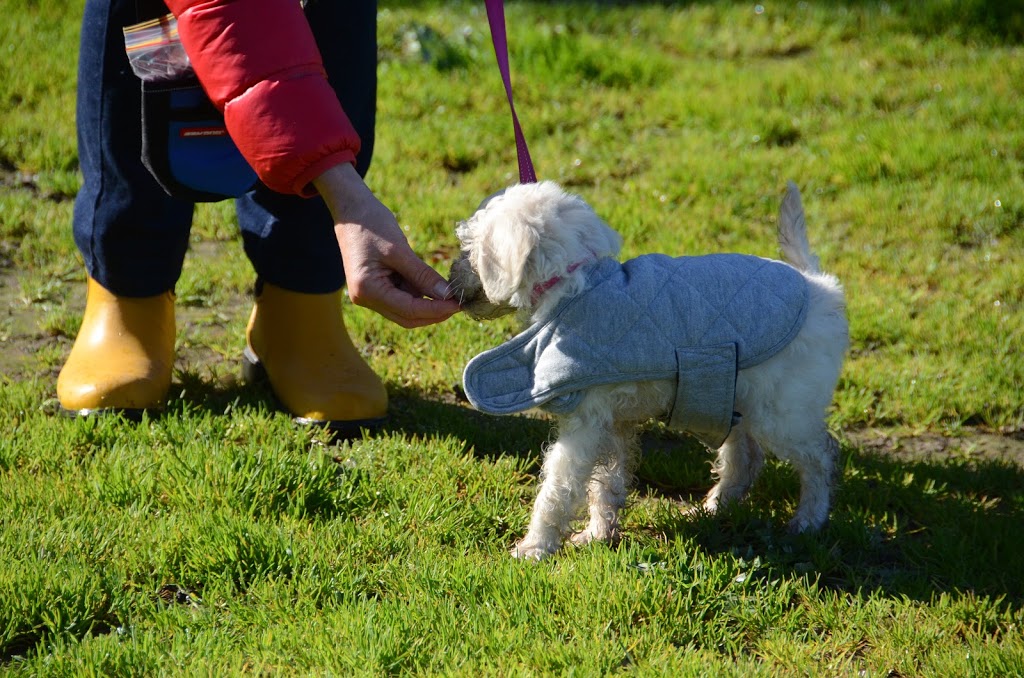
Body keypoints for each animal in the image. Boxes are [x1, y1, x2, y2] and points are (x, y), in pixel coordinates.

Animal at [450, 178, 847, 561]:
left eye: (471, 248)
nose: (452, 276)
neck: (573, 286)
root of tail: (820, 285)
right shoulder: (612, 421)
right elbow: (606, 481)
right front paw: (597, 534)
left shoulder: (585, 422)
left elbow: (559, 486)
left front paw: (534, 547)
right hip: (730, 393)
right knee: (745, 457)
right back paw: (714, 508)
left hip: (783, 408)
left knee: (820, 456)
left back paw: (808, 520)